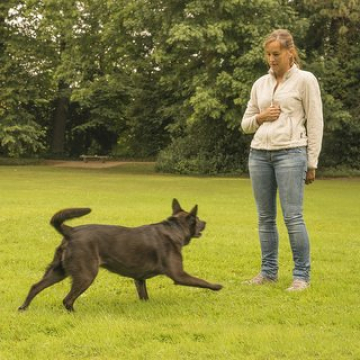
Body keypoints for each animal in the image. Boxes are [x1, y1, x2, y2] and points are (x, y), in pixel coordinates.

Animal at [19, 198, 224, 310]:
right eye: (198, 219)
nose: (206, 222)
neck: (173, 229)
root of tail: (71, 231)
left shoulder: (139, 279)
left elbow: (144, 295)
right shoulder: (179, 275)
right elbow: (201, 281)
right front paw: (216, 286)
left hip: (58, 271)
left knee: (35, 287)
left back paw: (23, 308)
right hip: (86, 275)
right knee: (67, 299)